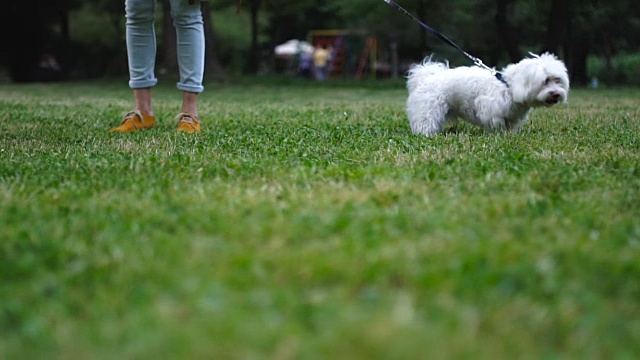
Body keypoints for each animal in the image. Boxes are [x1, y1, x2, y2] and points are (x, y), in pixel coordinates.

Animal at [408, 53, 568, 136]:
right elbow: (496, 123)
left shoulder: (513, 117)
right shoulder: (490, 110)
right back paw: (426, 134)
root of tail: (425, 77)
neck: (509, 86)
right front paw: (498, 134)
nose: (556, 94)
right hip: (428, 109)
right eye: (545, 81)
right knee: (425, 122)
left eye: (557, 80)